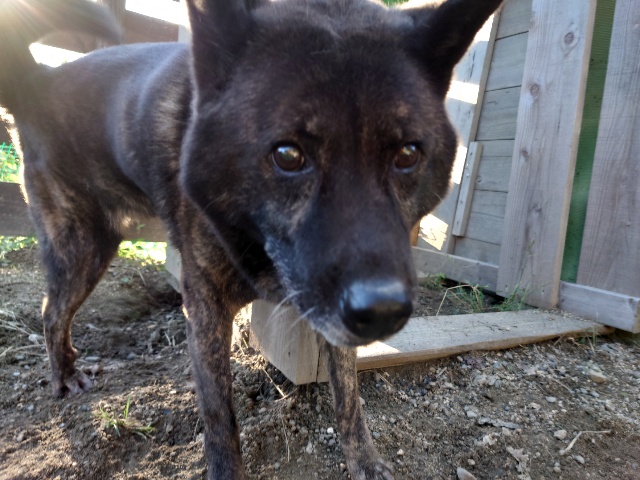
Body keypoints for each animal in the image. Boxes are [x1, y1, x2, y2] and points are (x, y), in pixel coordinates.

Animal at [0, 0, 503, 478]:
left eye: (408, 153)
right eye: (287, 155)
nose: (382, 312)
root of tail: (38, 78)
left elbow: (349, 395)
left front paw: (365, 461)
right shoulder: (206, 310)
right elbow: (220, 417)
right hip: (83, 248)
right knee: (51, 312)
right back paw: (64, 375)